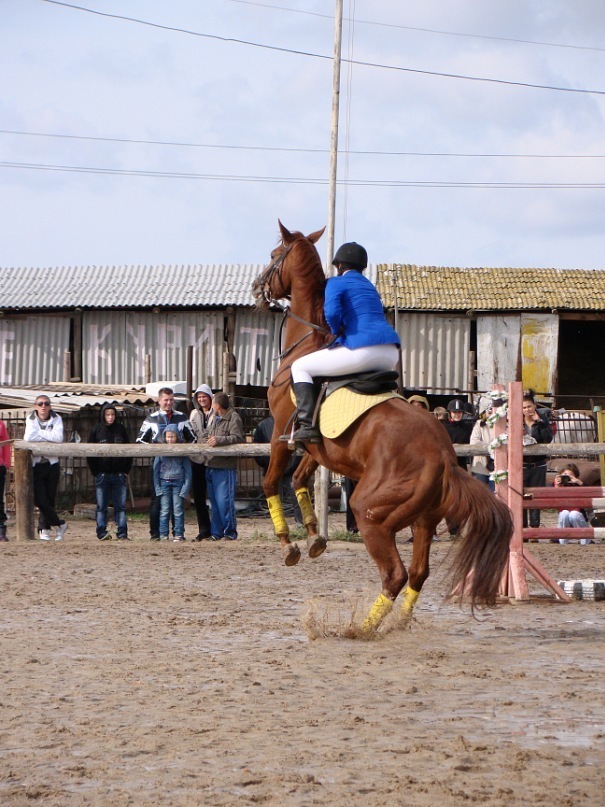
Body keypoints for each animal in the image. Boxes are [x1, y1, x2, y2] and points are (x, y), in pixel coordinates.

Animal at [250, 224, 510, 636]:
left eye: (274, 255)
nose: (256, 289)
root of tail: (444, 457)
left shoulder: (280, 433)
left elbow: (272, 481)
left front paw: (289, 546)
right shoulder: (315, 447)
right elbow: (301, 480)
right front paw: (315, 537)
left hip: (371, 513)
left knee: (395, 574)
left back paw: (362, 630)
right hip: (424, 518)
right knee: (418, 573)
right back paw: (398, 623)